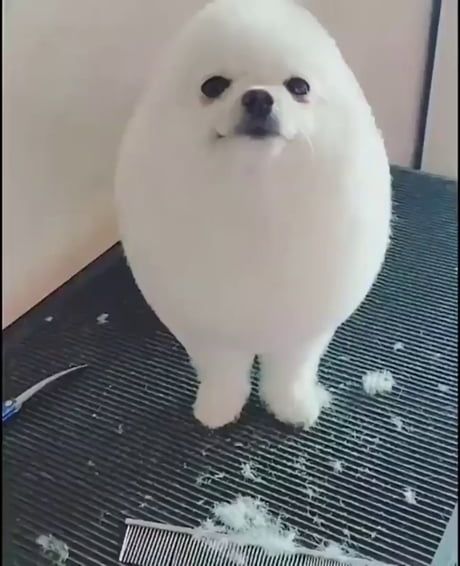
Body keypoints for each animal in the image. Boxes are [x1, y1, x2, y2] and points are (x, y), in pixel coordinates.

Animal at [116, 0, 392, 428]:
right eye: (213, 86)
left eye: (299, 87)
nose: (259, 97)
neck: (257, 197)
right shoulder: (209, 329)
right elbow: (223, 373)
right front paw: (217, 409)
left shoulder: (301, 326)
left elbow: (290, 372)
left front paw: (292, 408)